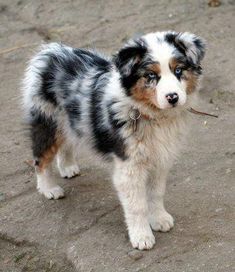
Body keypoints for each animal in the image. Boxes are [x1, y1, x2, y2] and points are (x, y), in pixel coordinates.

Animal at [22, 30, 206, 250]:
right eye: (151, 76)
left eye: (178, 70)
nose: (173, 97)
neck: (148, 114)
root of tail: (51, 51)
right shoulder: (128, 166)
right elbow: (137, 205)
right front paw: (142, 236)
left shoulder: (160, 159)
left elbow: (156, 193)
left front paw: (159, 219)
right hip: (48, 120)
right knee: (41, 158)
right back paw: (48, 188)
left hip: (69, 120)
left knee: (67, 142)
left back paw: (67, 167)